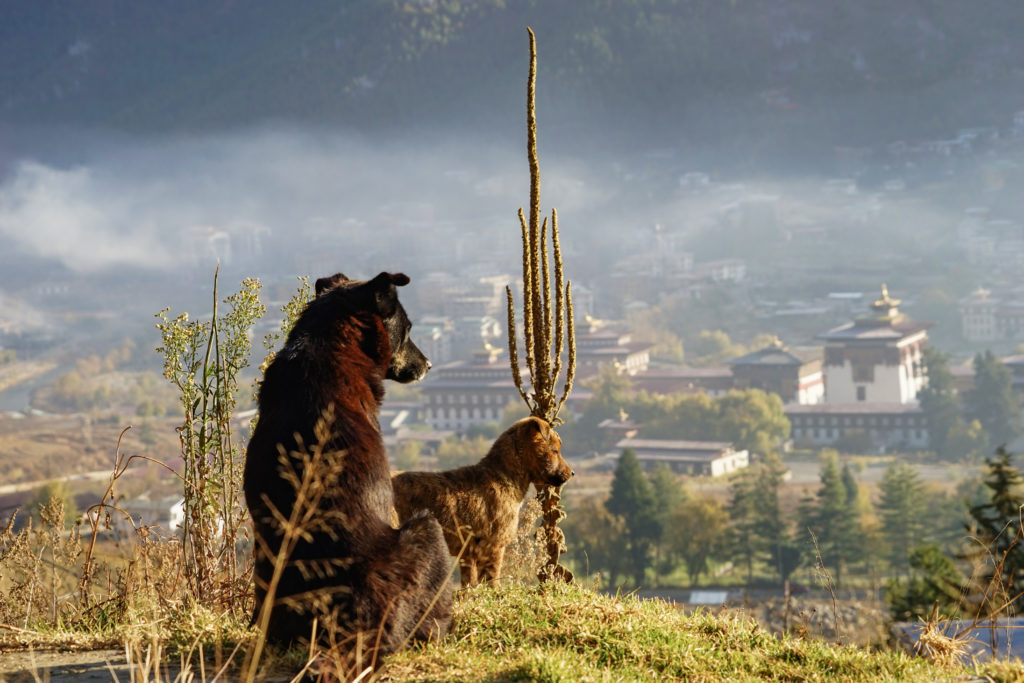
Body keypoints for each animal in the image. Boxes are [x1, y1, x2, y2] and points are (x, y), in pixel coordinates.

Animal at [391, 417, 573, 589]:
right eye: (555, 450)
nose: (572, 473)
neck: (503, 476)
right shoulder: (494, 547)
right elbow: (491, 583)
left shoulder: (469, 555)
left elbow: (470, 586)